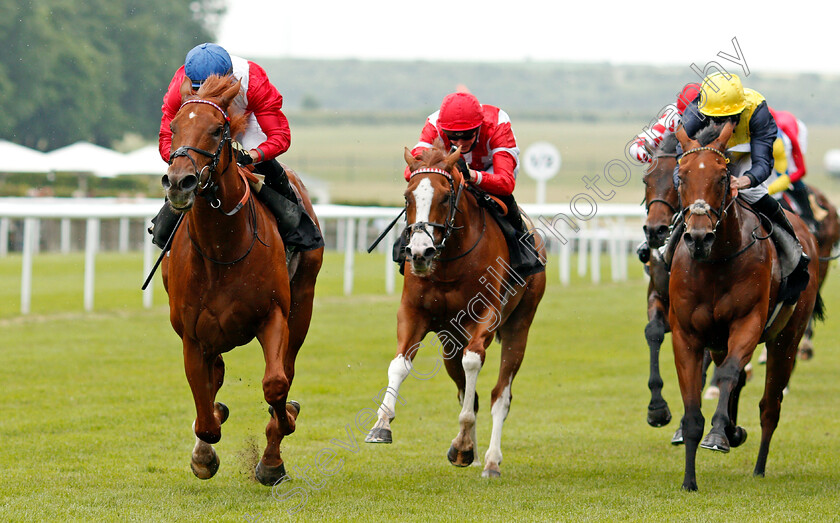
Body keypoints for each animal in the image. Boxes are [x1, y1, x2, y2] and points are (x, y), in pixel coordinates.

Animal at [162, 74, 324, 488]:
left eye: (216, 129)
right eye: (174, 127)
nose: (179, 182)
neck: (222, 247)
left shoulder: (273, 315)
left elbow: (276, 385)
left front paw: (274, 451)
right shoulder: (192, 336)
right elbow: (206, 416)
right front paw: (204, 453)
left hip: (303, 306)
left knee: (286, 370)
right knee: (215, 378)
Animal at [364, 139, 548, 478]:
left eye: (446, 196)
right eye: (407, 196)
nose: (420, 252)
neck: (450, 263)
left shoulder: (486, 315)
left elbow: (473, 363)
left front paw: (464, 442)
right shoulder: (413, 313)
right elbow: (399, 364)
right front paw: (381, 425)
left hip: (519, 325)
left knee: (501, 395)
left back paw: (490, 460)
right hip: (450, 338)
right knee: (466, 390)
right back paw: (470, 452)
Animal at [668, 122, 820, 492]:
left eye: (723, 177)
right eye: (682, 175)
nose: (698, 237)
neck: (715, 261)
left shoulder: (747, 323)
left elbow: (729, 376)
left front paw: (720, 434)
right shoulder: (687, 335)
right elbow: (693, 411)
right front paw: (689, 480)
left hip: (786, 338)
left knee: (769, 405)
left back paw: (757, 463)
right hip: (719, 341)